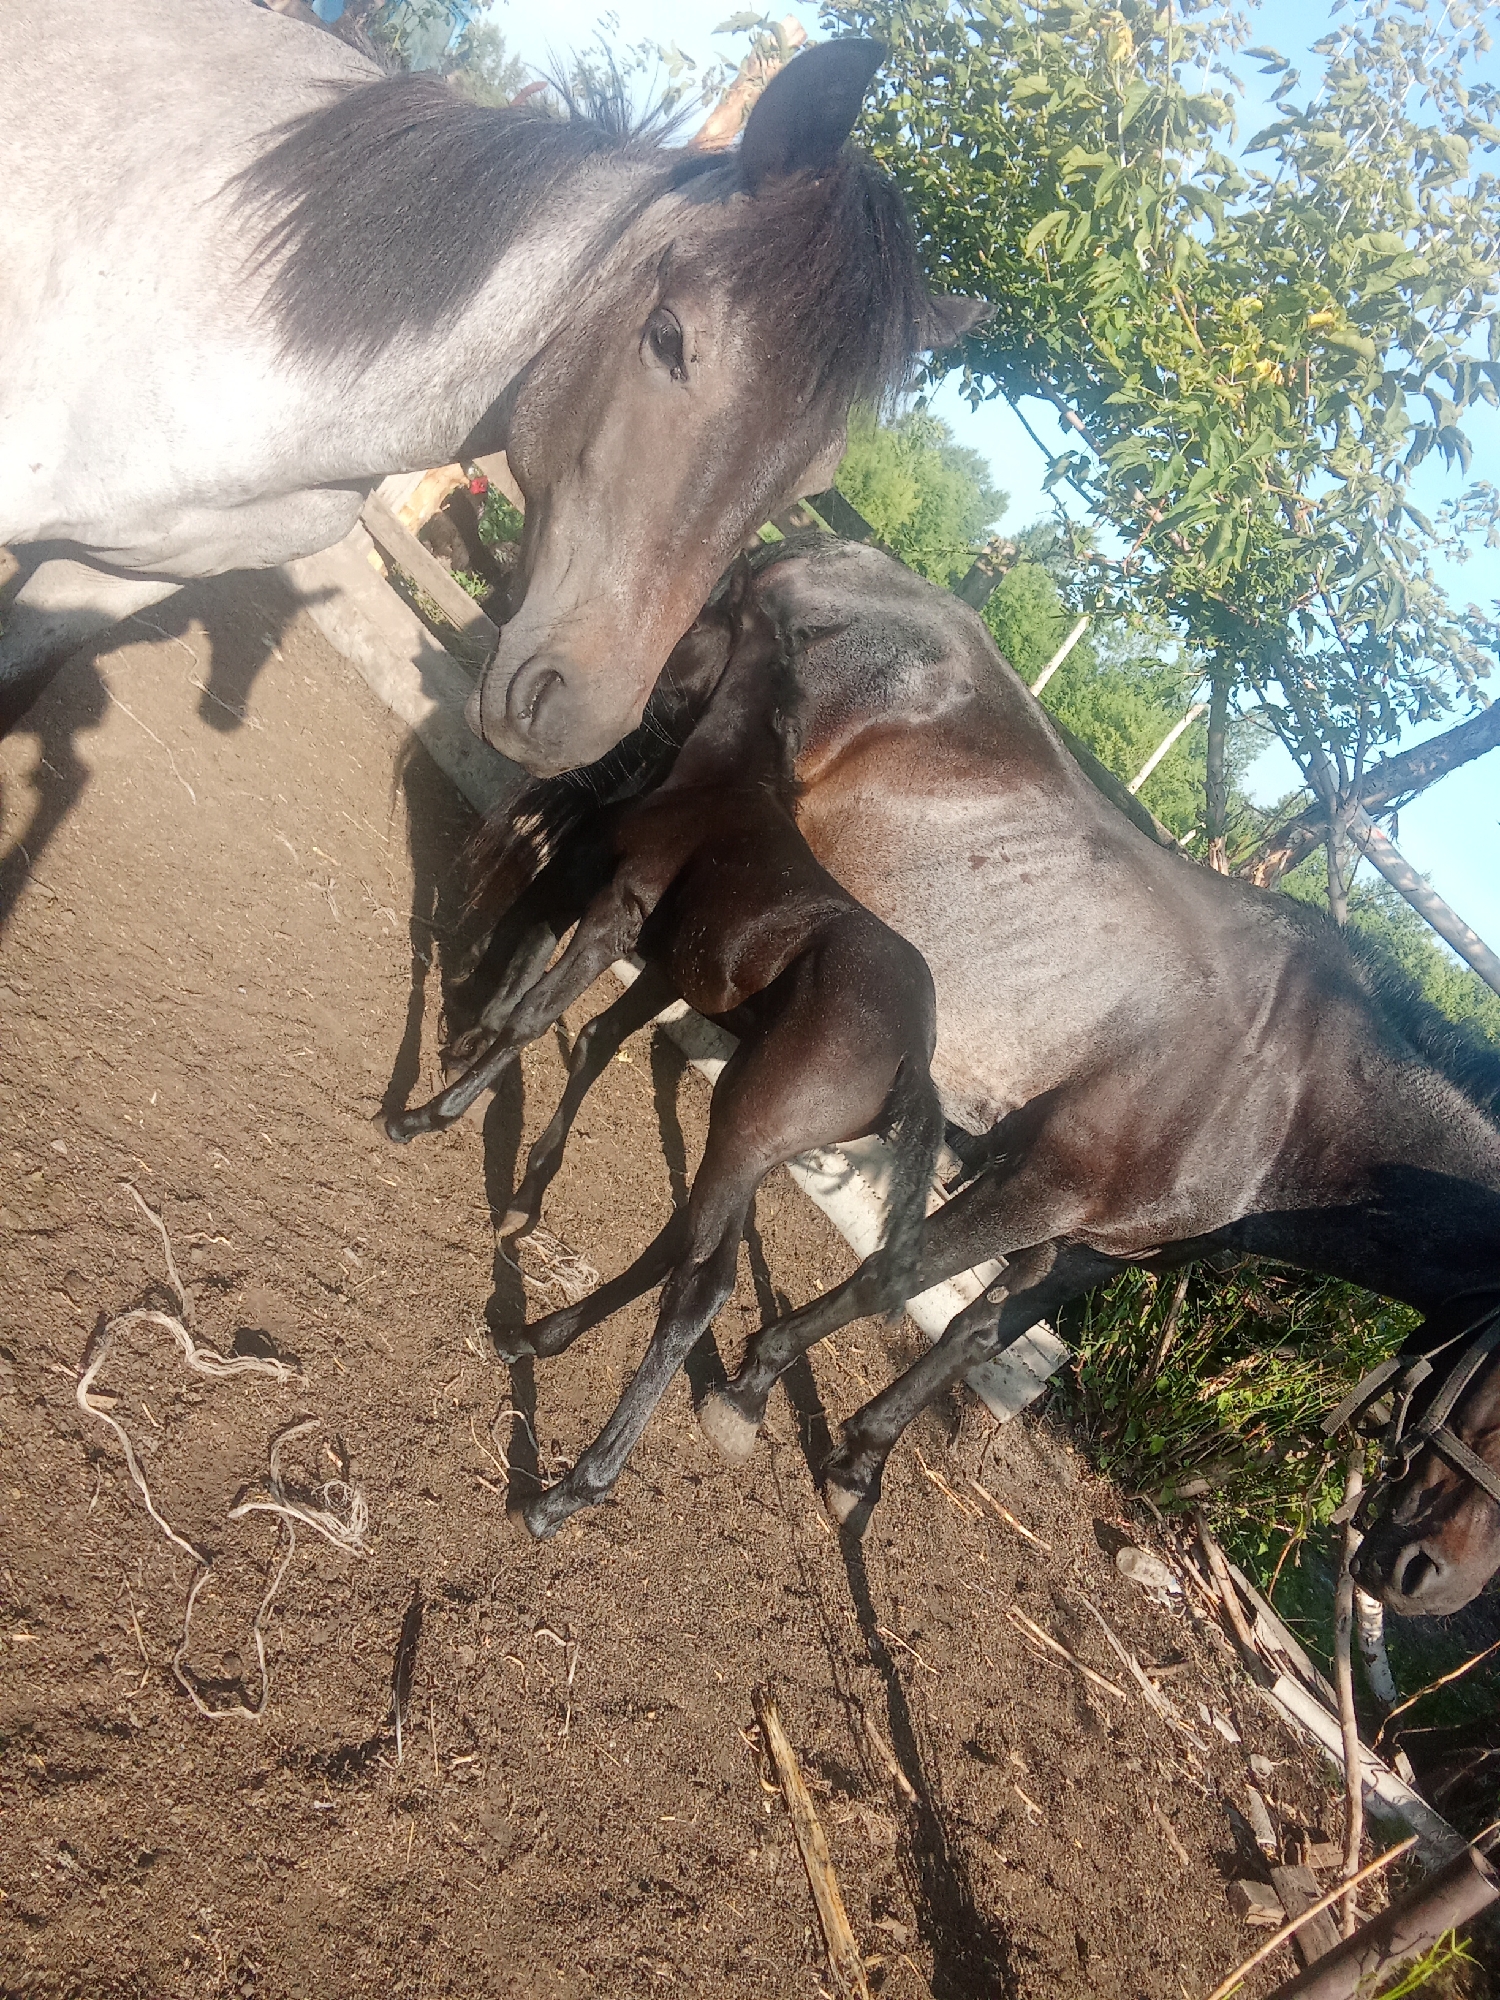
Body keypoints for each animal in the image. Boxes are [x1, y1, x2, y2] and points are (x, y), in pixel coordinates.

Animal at [384, 563, 944, 1538]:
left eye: (699, 617)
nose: (626, 696)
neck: (715, 788)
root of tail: (916, 1054)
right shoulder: (664, 963)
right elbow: (581, 1031)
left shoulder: (619, 912)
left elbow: (535, 1020)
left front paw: (425, 1114)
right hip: (750, 1130)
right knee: (682, 1242)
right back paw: (532, 1335)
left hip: (751, 1126)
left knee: (704, 1282)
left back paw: (565, 1491)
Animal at [452, 534, 1500, 1614]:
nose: (1426, 1579)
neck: (1285, 1087)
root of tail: (832, 552)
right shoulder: (1037, 1184)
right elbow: (897, 1272)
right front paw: (750, 1388)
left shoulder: (1087, 1243)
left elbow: (980, 1332)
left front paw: (860, 1460)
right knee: (562, 866)